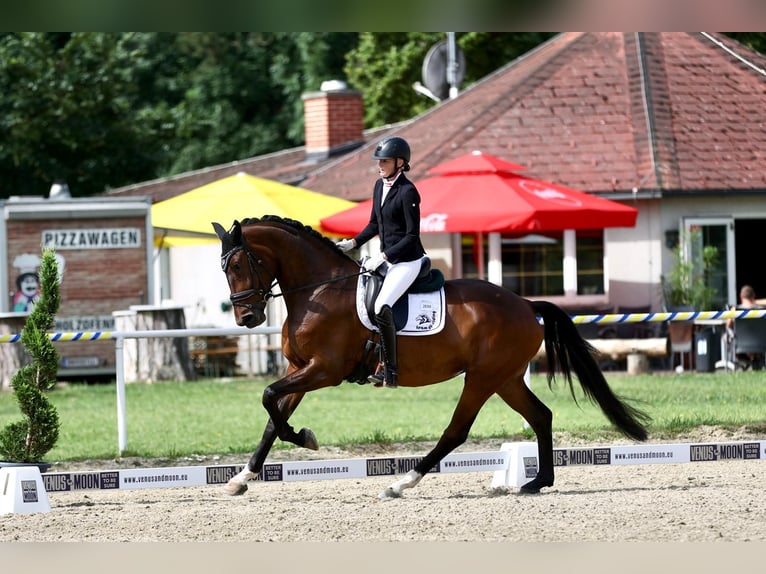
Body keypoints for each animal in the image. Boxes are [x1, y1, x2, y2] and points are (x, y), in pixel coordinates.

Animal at [213, 216, 652, 500]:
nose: (247, 318)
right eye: (224, 269)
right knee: (541, 416)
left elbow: (269, 399)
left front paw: (304, 437)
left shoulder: (324, 370)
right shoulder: (299, 368)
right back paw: (537, 483)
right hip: (506, 379)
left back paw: (402, 483)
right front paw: (242, 477)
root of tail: (526, 305)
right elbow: (271, 418)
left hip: (482, 378)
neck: (319, 289)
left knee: (456, 431)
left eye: (238, 264)